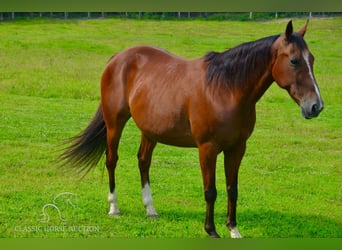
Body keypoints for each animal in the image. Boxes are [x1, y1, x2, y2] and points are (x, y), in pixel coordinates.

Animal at [58, 20, 324, 237]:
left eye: (311, 59)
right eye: (294, 60)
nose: (316, 106)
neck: (226, 89)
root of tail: (117, 58)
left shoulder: (237, 148)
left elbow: (232, 189)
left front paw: (233, 229)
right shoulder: (207, 149)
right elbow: (210, 190)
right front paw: (211, 230)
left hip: (150, 130)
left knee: (143, 161)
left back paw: (150, 209)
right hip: (115, 123)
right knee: (112, 159)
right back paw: (114, 206)